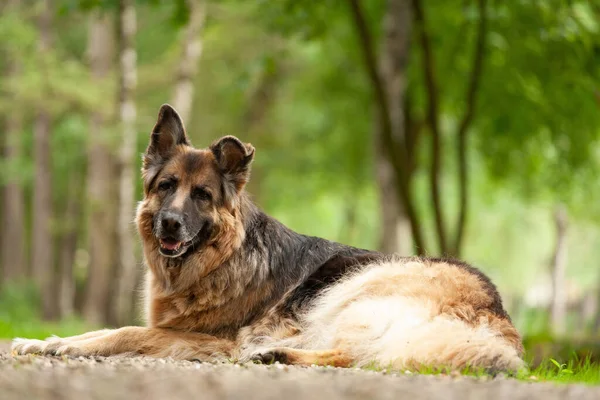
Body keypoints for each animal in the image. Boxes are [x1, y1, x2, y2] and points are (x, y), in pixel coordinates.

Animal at [11, 104, 524, 374]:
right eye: (166, 187)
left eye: (202, 195)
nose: (170, 224)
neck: (222, 260)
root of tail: (498, 314)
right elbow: (99, 328)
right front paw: (43, 341)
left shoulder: (205, 340)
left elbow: (124, 332)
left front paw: (69, 347)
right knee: (371, 357)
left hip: (359, 289)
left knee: (360, 355)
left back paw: (274, 353)